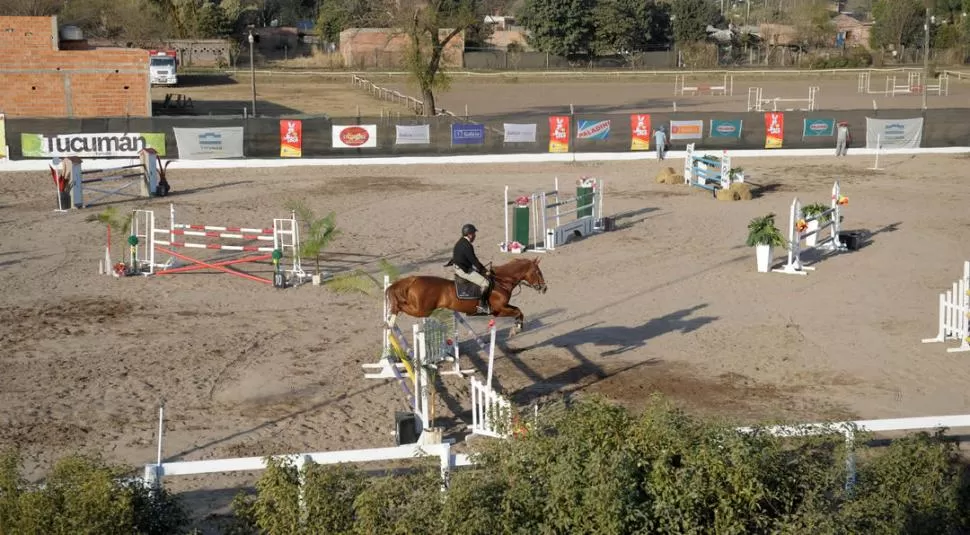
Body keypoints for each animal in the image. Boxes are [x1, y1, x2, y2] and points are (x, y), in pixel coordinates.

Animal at [384, 258, 544, 336]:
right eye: (537, 272)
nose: (544, 287)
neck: (501, 281)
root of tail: (414, 280)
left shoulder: (502, 308)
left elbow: (519, 311)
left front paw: (516, 327)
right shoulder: (499, 310)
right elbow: (518, 312)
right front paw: (516, 329)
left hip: (422, 309)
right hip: (422, 310)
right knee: (399, 306)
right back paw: (390, 319)